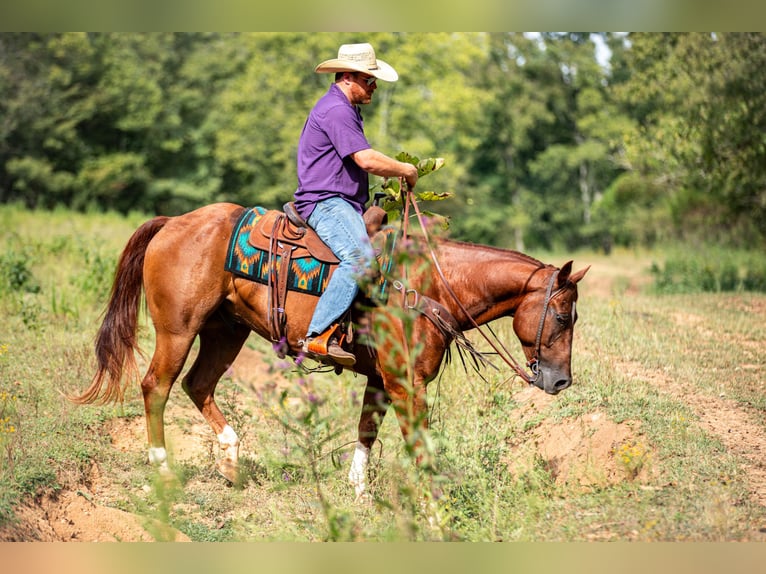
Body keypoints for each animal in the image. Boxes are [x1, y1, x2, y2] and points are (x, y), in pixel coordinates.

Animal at [72, 202, 588, 499]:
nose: (560, 380)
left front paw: (358, 492)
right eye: (564, 317)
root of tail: (173, 223)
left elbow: (366, 430)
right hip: (178, 330)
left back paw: (231, 460)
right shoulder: (406, 383)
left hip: (225, 332)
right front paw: (435, 508)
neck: (428, 286)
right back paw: (163, 470)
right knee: (156, 386)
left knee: (197, 385)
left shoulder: (381, 379)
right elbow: (418, 446)